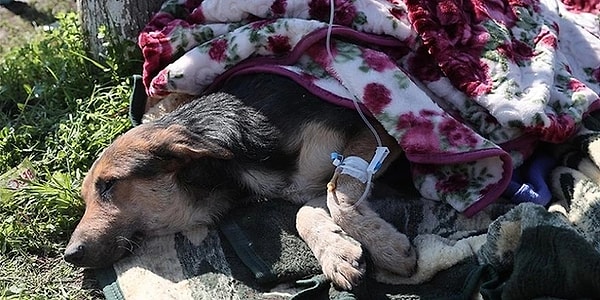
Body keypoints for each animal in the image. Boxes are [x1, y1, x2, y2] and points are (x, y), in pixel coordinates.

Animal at [63, 72, 414, 288]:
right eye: (85, 197)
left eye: (109, 184)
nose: (70, 254)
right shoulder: (304, 186)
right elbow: (307, 211)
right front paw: (336, 252)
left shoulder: (375, 129)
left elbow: (338, 192)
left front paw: (387, 247)